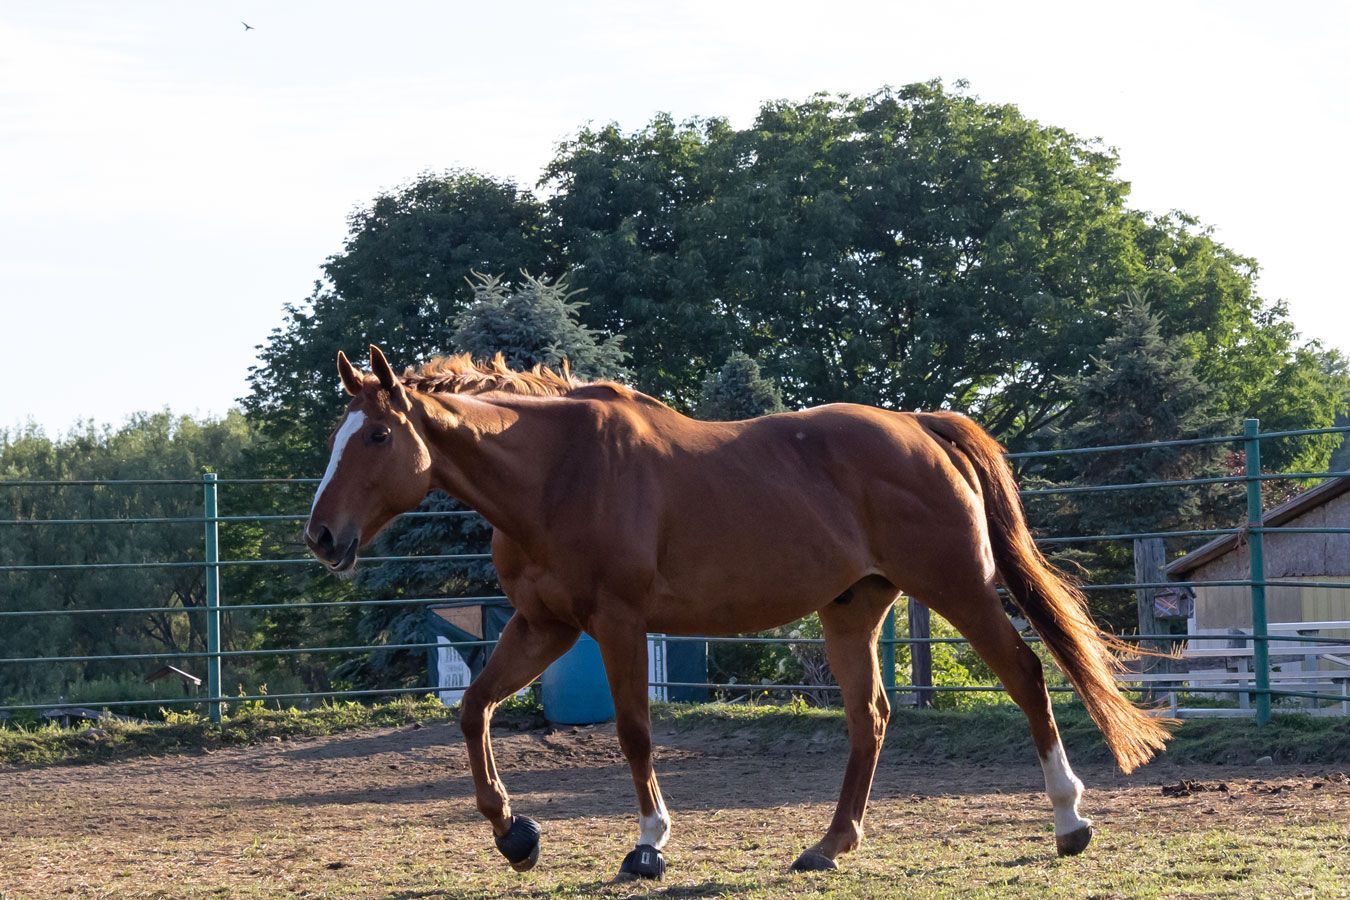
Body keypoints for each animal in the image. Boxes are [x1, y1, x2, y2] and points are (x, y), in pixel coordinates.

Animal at [304, 345, 1171, 881]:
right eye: (337, 435)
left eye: (376, 435)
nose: (321, 536)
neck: (555, 472)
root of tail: (921, 427)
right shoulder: (545, 625)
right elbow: (474, 710)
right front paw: (514, 834)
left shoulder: (616, 624)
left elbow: (633, 732)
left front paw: (648, 847)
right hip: (851, 612)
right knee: (871, 716)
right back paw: (830, 844)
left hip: (955, 588)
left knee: (1026, 677)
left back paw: (1069, 821)